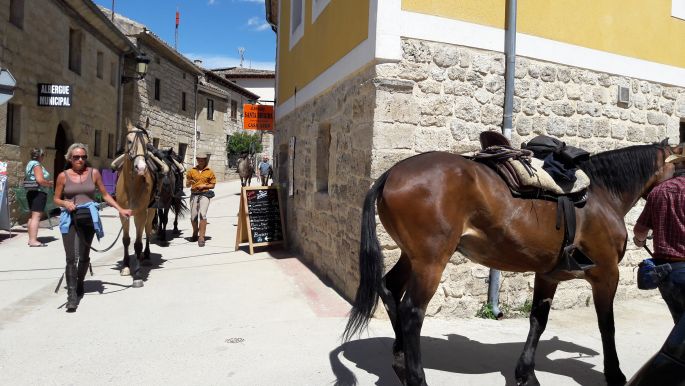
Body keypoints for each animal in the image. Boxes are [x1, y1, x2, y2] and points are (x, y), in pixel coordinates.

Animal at [344, 133, 680, 386]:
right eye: (682, 165)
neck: (600, 195)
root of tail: (392, 173)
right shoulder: (607, 274)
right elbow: (607, 325)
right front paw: (615, 373)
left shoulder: (549, 274)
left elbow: (538, 321)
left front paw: (526, 374)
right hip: (430, 262)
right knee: (412, 312)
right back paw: (416, 377)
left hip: (412, 256)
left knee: (390, 289)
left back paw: (400, 362)